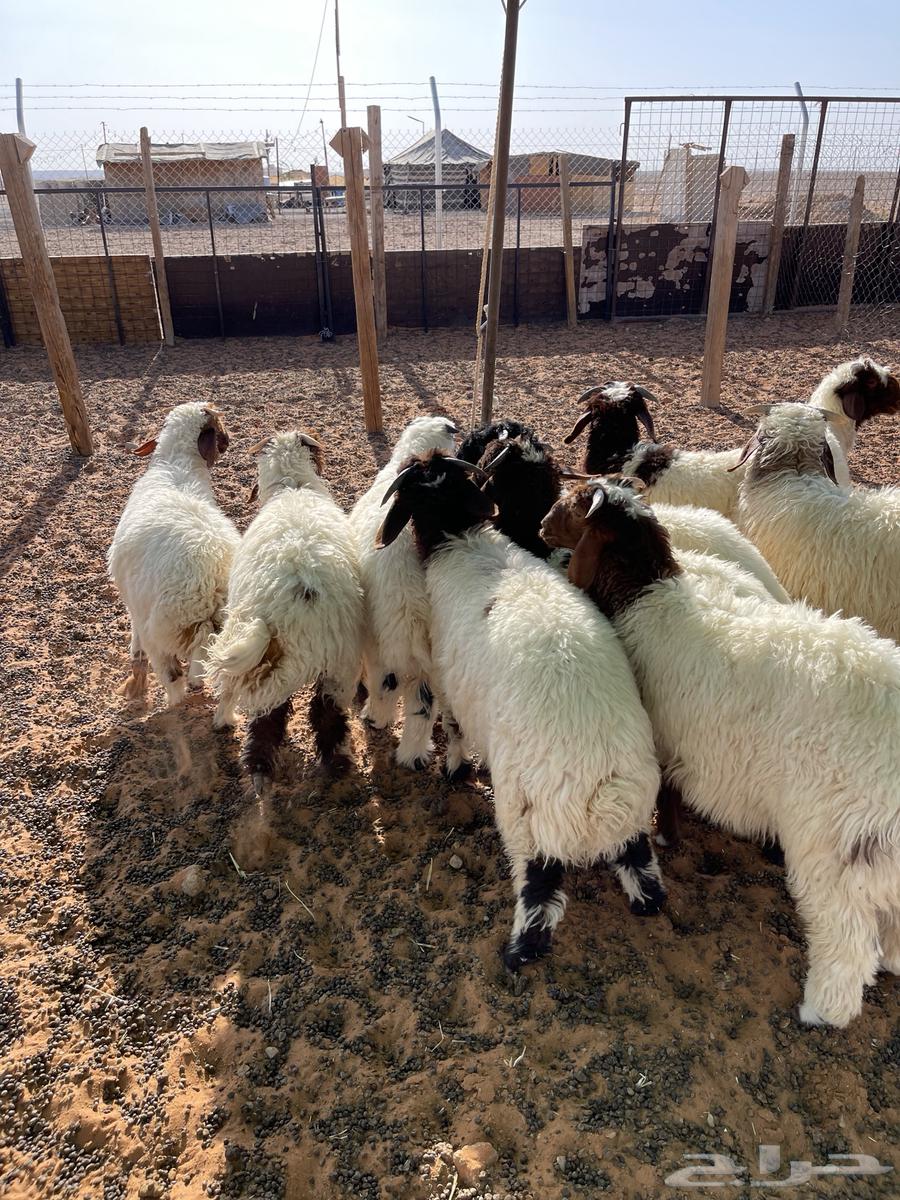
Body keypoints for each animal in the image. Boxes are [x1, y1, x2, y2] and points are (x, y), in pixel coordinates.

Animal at [107, 402, 239, 708]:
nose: (229, 441)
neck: (176, 469)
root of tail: (212, 585)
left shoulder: (135, 602)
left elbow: (135, 634)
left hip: (161, 632)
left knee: (173, 678)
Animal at [205, 431, 364, 793]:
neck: (293, 487)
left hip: (263, 653)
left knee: (268, 715)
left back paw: (258, 768)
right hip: (338, 663)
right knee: (327, 713)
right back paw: (338, 764)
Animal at [376, 451, 666, 970]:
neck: (458, 536)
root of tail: (599, 787)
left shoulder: (450, 680)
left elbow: (453, 726)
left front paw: (454, 770)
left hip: (527, 824)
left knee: (538, 897)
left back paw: (517, 953)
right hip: (633, 818)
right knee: (644, 872)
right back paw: (644, 902)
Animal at [541, 478, 900, 1027]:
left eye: (577, 506)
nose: (540, 525)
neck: (648, 598)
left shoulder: (663, 737)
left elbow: (666, 792)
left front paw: (664, 837)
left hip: (833, 839)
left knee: (845, 938)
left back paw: (821, 1010)